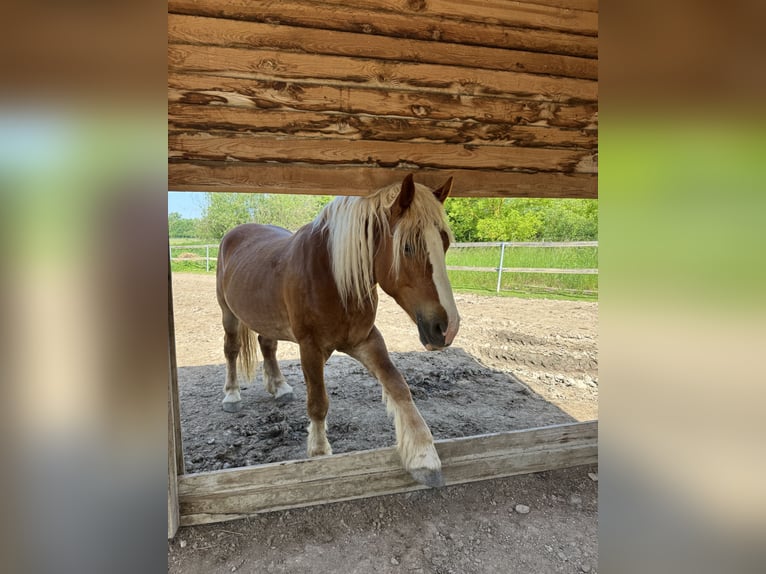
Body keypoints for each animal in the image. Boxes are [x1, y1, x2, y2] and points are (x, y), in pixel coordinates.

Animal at [215, 174, 460, 487]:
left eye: (445, 243)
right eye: (408, 246)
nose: (447, 328)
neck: (334, 277)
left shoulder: (366, 339)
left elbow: (398, 386)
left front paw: (423, 455)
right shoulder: (310, 346)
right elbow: (318, 402)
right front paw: (319, 452)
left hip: (265, 314)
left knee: (267, 344)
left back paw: (279, 386)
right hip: (229, 314)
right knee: (232, 350)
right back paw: (232, 395)